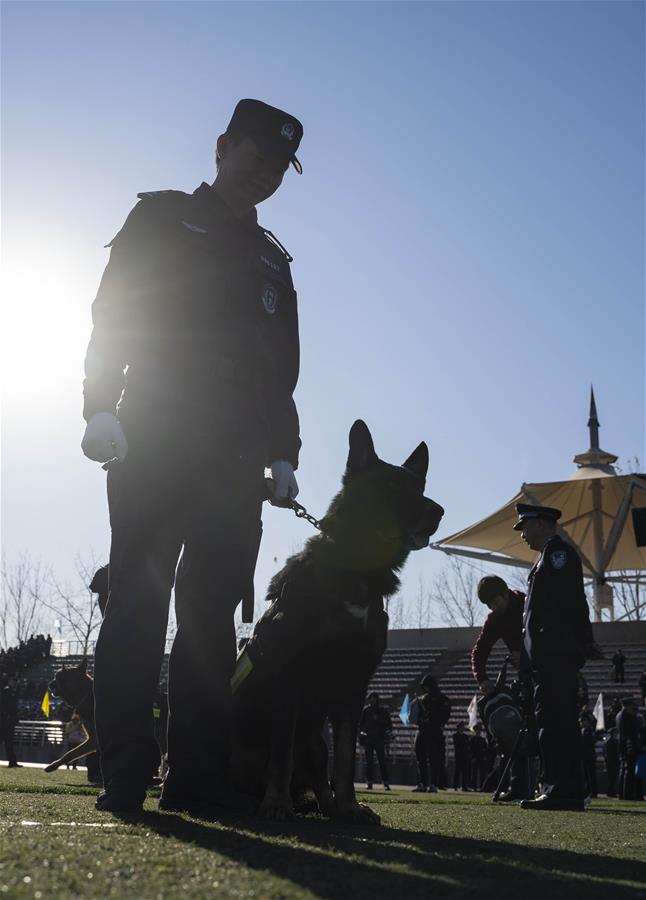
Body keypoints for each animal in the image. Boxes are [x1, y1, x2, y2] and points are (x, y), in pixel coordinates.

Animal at [231, 419, 444, 823]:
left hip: (315, 741)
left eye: (420, 488)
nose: (437, 511)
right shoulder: (291, 674)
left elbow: (345, 757)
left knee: (318, 771)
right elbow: (281, 754)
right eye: (391, 487)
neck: (356, 572)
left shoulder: (355, 683)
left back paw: (328, 806)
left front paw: (349, 805)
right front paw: (277, 804)